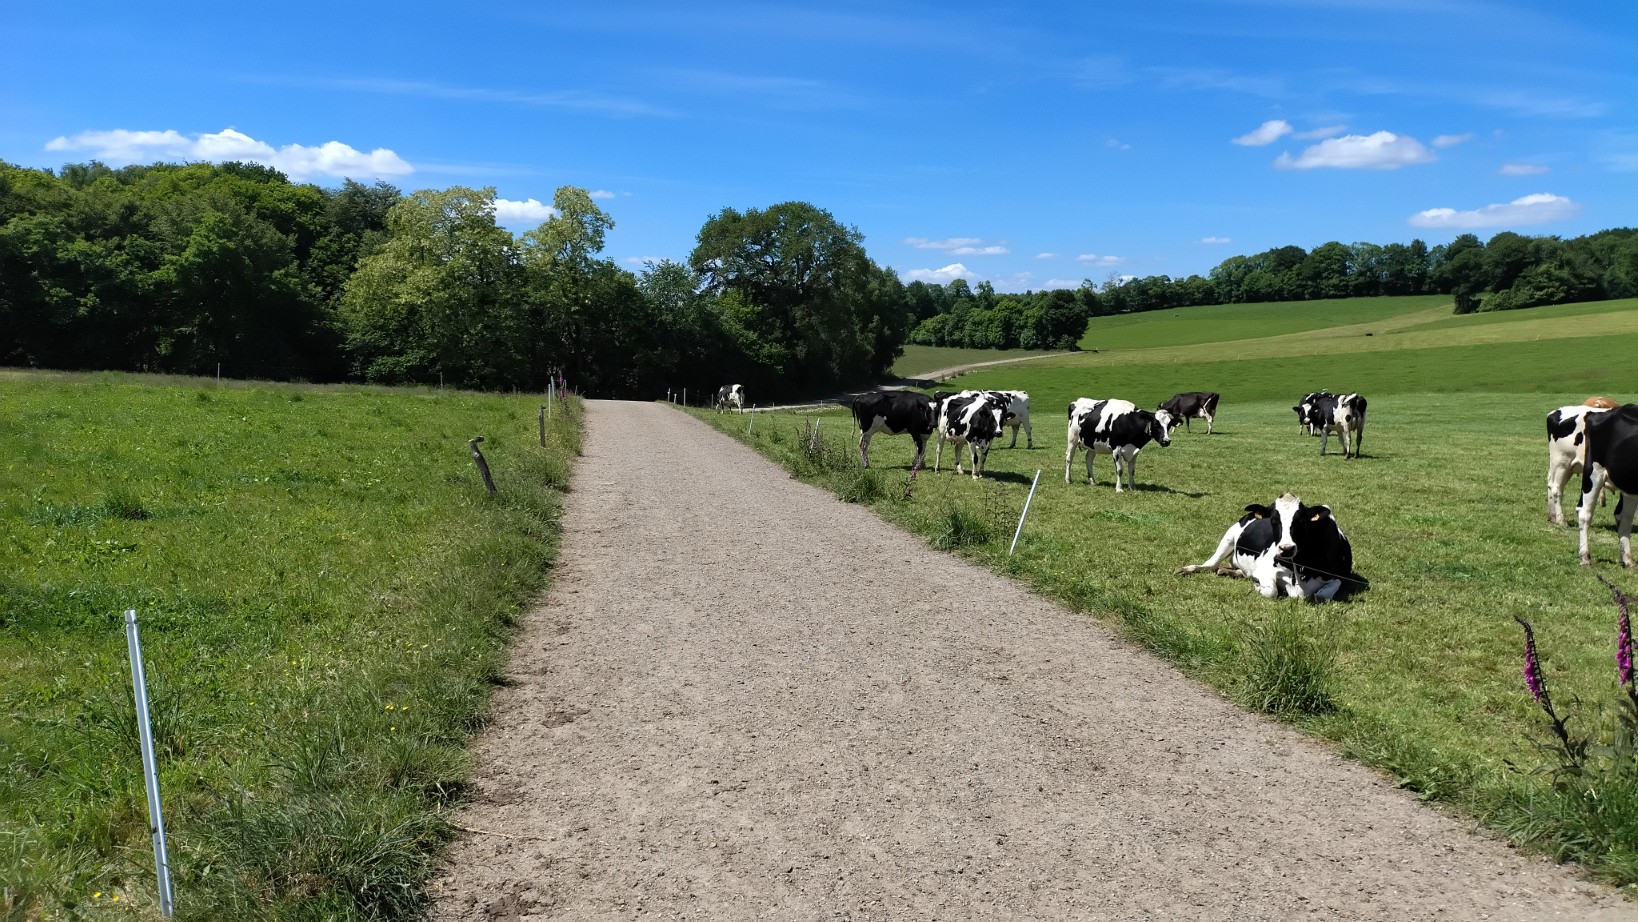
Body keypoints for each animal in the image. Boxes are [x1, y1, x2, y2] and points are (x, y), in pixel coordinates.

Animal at [1176, 493, 1365, 601]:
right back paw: (1187, 569)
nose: (1286, 549)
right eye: (1274, 520)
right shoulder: (1264, 570)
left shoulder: (1340, 577)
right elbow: (1272, 591)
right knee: (1211, 564)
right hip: (1229, 536)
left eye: (1301, 520)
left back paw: (1229, 571)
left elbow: (1321, 595)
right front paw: (1257, 586)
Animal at [1578, 404, 1638, 568]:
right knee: (1584, 513)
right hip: (1593, 473)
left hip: (1630, 486)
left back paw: (1628, 560)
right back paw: (1585, 557)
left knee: (1625, 517)